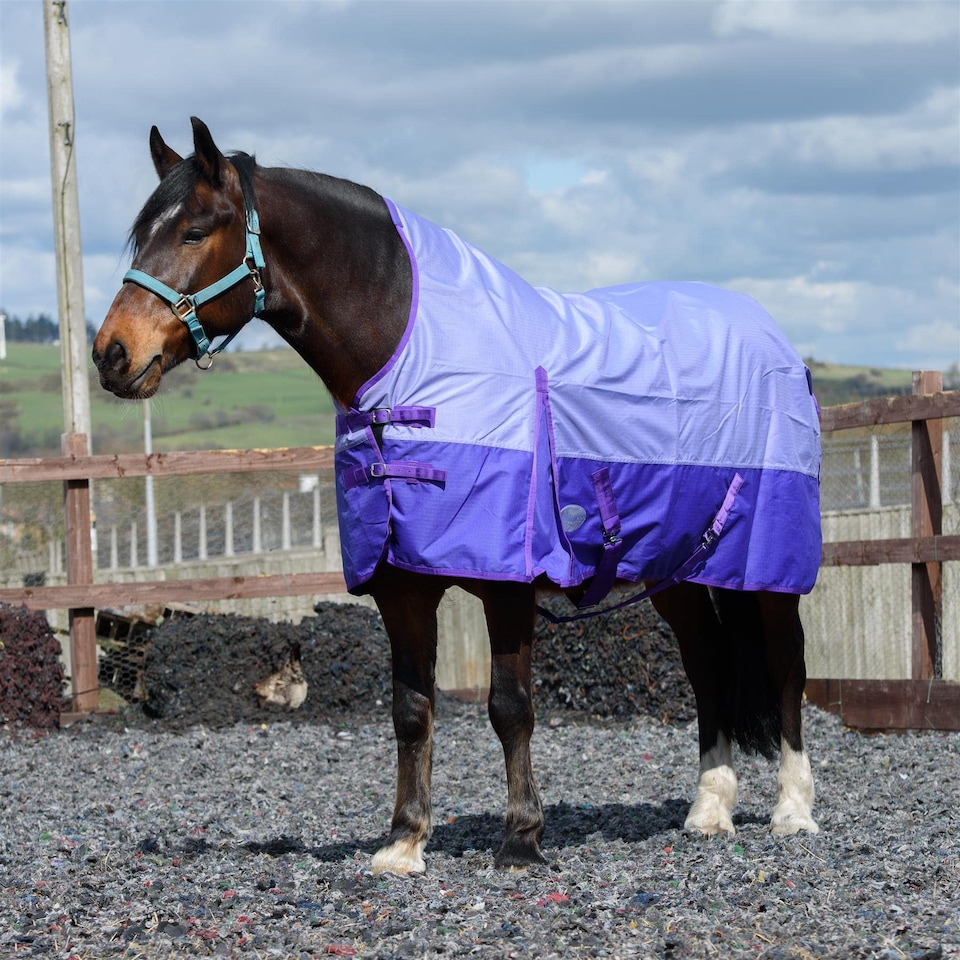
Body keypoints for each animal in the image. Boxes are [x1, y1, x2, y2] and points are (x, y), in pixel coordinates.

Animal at [93, 118, 822, 875]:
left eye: (195, 231)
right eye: (142, 236)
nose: (112, 354)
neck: (411, 359)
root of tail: (770, 336)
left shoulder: (508, 582)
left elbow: (510, 706)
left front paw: (521, 838)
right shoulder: (401, 587)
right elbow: (411, 711)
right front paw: (403, 842)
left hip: (769, 565)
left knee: (786, 667)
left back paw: (792, 811)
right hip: (673, 567)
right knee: (708, 665)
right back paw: (709, 809)